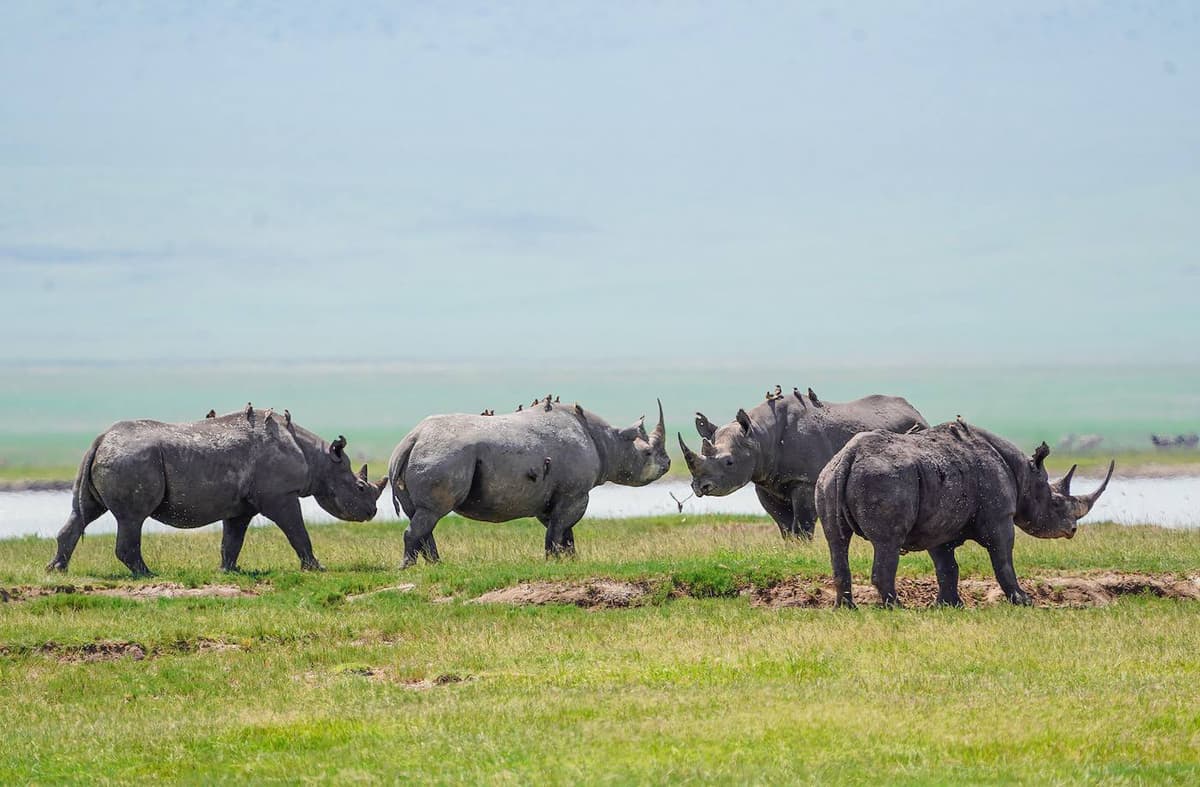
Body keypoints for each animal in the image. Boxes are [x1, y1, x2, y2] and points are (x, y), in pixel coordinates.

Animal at [46, 406, 386, 576]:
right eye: (359, 487)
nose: (371, 512)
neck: (319, 460)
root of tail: (101, 439)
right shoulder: (280, 496)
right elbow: (297, 532)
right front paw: (316, 568)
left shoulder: (242, 505)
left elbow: (232, 539)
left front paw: (229, 570)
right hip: (132, 459)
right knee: (132, 519)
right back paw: (148, 575)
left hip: (111, 457)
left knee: (84, 512)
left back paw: (56, 570)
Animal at [388, 399, 670, 567]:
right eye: (647, 454)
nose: (667, 463)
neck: (609, 441)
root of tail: (411, 439)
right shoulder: (575, 493)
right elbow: (559, 529)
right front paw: (553, 561)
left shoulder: (551, 497)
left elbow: (563, 531)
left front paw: (570, 560)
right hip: (444, 455)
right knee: (431, 513)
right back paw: (408, 568)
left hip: (422, 455)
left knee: (423, 517)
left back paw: (437, 566)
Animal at [677, 389, 927, 538]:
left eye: (729, 462)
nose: (700, 486)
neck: (759, 435)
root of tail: (916, 411)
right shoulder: (765, 482)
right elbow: (783, 524)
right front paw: (791, 549)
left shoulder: (805, 480)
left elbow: (802, 523)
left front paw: (802, 547)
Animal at [814, 420, 1115, 608]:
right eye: (1056, 504)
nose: (1072, 529)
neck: (1026, 476)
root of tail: (849, 456)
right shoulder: (999, 517)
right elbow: (1003, 559)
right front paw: (1024, 601)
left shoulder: (938, 520)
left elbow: (947, 566)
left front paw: (949, 605)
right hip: (885, 479)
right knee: (887, 542)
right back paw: (897, 608)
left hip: (828, 477)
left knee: (836, 540)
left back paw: (846, 608)